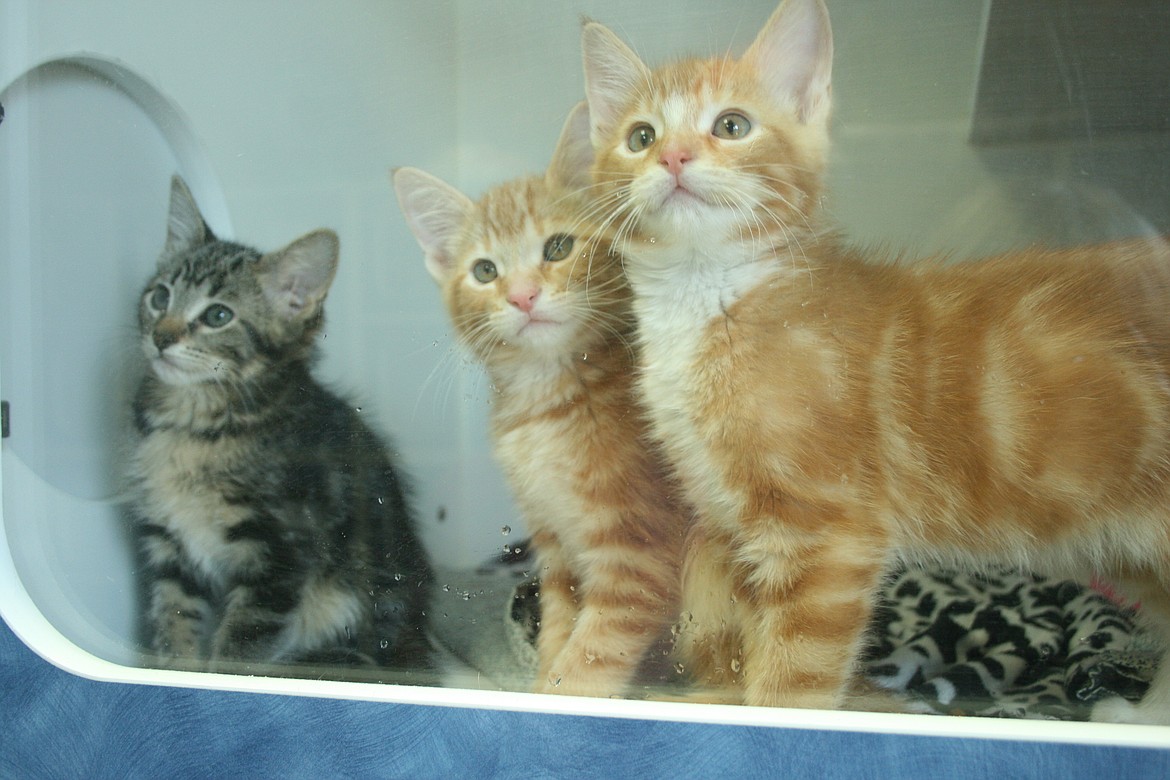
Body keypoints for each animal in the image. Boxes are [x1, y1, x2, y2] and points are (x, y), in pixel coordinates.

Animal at [129, 178, 430, 678]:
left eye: (217, 316)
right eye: (160, 297)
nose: (161, 337)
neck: (199, 425)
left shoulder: (281, 551)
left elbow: (242, 642)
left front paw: (219, 681)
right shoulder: (168, 543)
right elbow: (172, 615)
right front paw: (172, 670)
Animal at [393, 105, 683, 701]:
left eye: (558, 248)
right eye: (485, 270)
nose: (523, 295)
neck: (546, 403)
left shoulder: (639, 554)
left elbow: (591, 656)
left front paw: (559, 694)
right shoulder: (553, 550)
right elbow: (559, 628)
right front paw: (542, 671)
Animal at [580, 0, 1170, 725]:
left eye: (732, 125)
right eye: (639, 136)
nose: (672, 155)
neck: (706, 302)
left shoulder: (829, 534)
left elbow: (791, 681)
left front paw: (766, 725)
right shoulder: (742, 531)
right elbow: (749, 648)